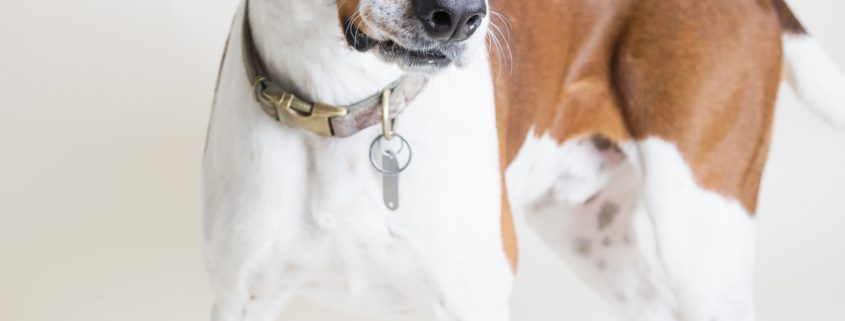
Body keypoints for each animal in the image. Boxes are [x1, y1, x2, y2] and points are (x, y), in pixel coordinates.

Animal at [204, 0, 844, 318]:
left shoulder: (472, 297)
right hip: (587, 231)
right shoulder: (238, 296)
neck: (346, 101)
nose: (458, 16)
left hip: (702, 233)